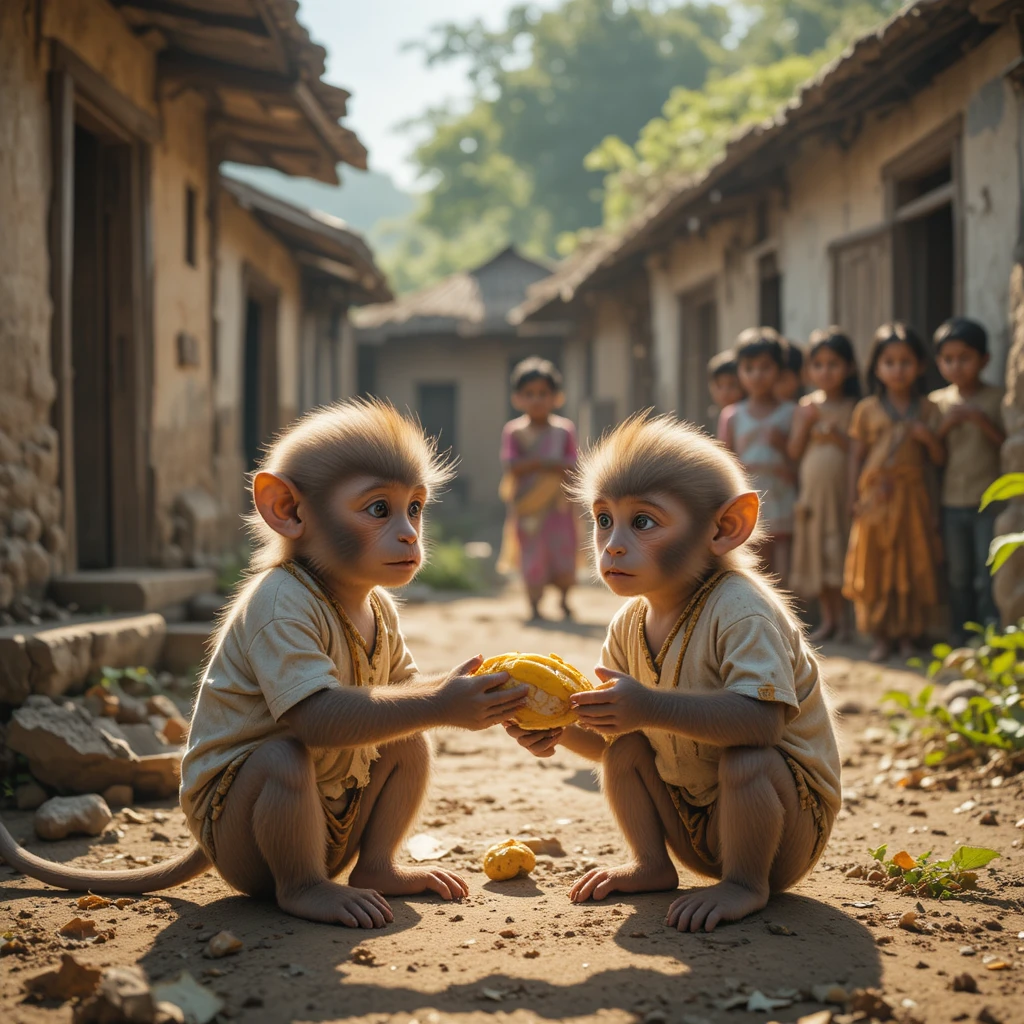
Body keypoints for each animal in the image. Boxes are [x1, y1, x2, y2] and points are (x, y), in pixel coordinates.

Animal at [0, 399, 528, 928]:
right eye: (380, 509)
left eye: (414, 509)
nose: (408, 538)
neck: (335, 584)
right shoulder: (276, 614)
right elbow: (320, 714)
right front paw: (454, 697)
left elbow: (400, 695)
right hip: (235, 847)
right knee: (279, 761)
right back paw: (312, 896)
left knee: (405, 740)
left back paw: (384, 876)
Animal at [505, 412, 841, 932]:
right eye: (605, 520)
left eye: (642, 522)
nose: (613, 550)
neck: (677, 596)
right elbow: (608, 739)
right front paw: (538, 737)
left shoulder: (750, 618)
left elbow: (755, 715)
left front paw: (633, 702)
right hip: (689, 841)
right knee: (625, 751)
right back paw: (644, 875)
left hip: (796, 846)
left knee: (750, 759)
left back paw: (735, 895)